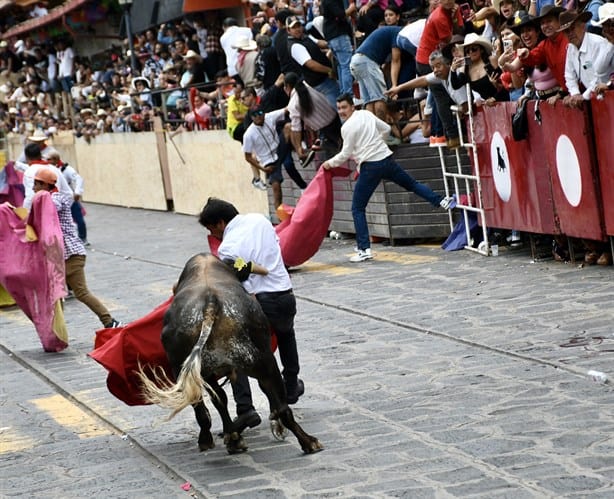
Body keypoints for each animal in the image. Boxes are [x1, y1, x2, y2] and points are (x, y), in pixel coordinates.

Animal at [138, 256, 324, 456]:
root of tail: (210, 304)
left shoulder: (207, 374)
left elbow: (219, 400)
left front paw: (230, 436)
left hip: (193, 369)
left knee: (204, 406)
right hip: (260, 361)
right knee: (280, 405)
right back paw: (306, 442)